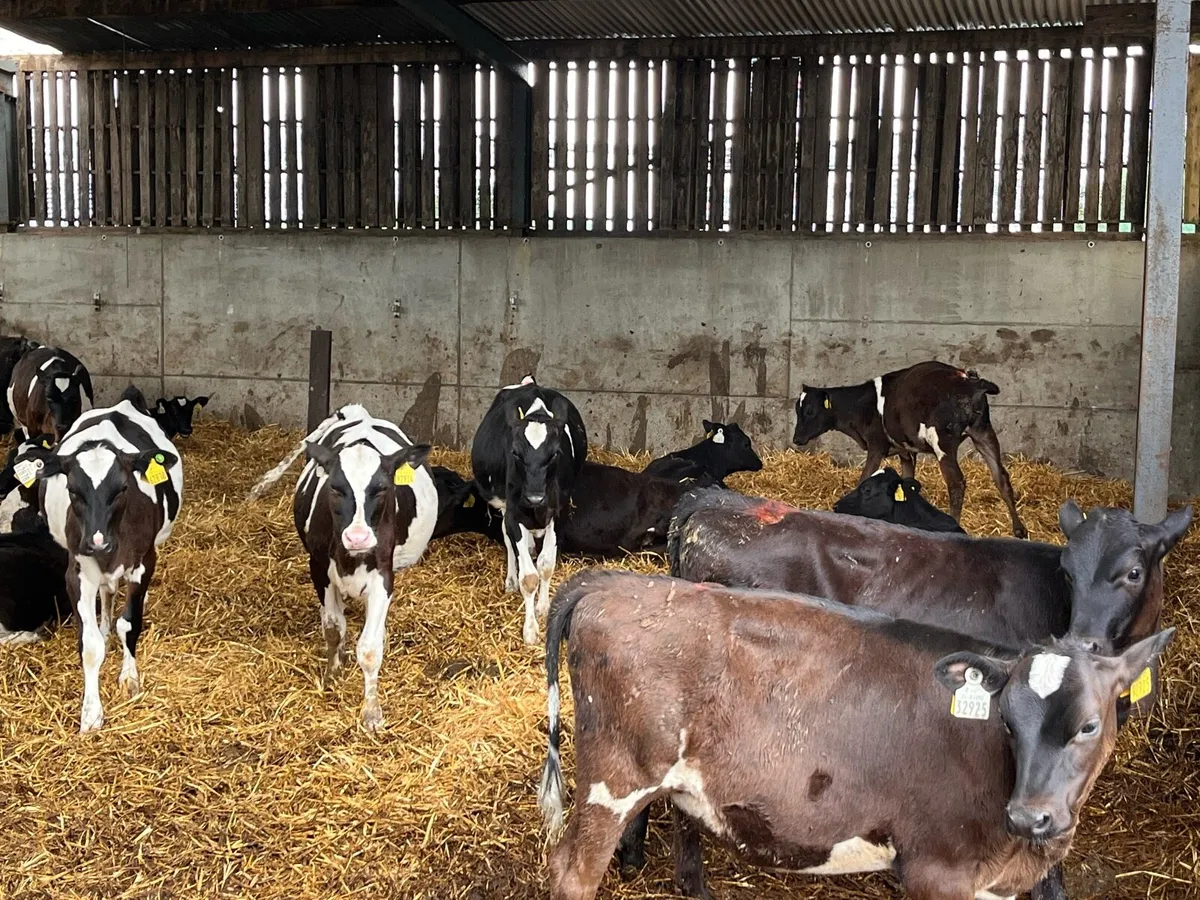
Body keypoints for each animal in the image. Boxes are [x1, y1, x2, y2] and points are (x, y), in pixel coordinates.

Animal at [29, 399, 182, 732]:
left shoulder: (144, 561)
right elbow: (90, 646)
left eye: (123, 488)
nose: (98, 542)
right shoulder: (77, 573)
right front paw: (91, 713)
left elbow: (130, 623)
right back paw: (105, 628)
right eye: (73, 490)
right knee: (107, 594)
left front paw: (130, 677)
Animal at [293, 404, 437, 731]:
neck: (352, 558)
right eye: (335, 488)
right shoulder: (318, 569)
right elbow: (333, 628)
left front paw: (372, 712)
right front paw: (332, 674)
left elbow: (370, 648)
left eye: (381, 488)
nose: (357, 537)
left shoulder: (384, 577)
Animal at [471, 379, 587, 645]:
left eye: (555, 453)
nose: (535, 497)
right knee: (507, 538)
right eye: (515, 453)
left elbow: (546, 565)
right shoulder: (514, 514)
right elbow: (529, 577)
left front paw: (543, 607)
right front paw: (530, 630)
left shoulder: (559, 513)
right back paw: (511, 578)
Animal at [538, 570, 1174, 900]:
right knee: (571, 870)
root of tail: (614, 584)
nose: (1029, 816)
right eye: (1007, 721)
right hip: (614, 780)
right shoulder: (935, 871)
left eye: (1089, 724)